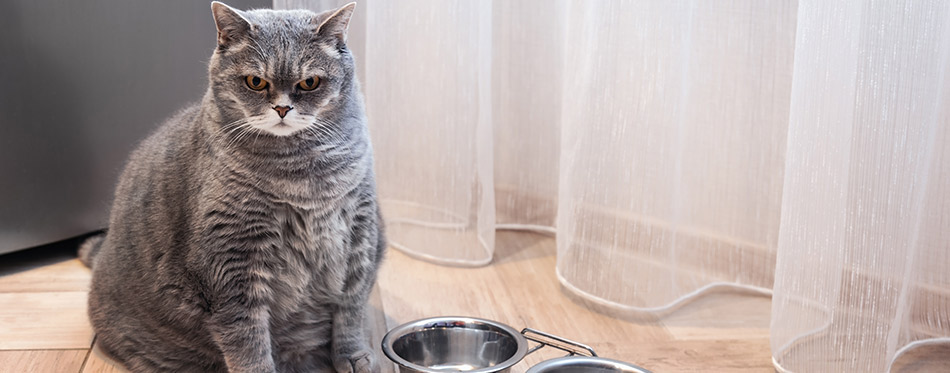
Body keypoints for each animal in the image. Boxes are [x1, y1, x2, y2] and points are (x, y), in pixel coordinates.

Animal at [77, 2, 384, 370]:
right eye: (256, 81)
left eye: (309, 82)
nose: (282, 108)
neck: (302, 178)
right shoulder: (231, 265)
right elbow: (246, 340)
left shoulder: (359, 238)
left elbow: (350, 310)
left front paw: (353, 357)